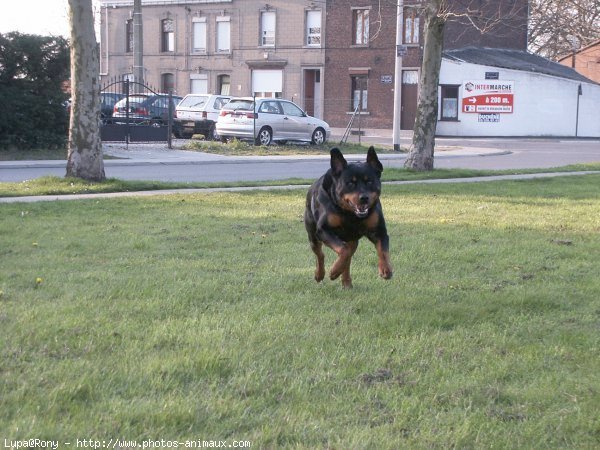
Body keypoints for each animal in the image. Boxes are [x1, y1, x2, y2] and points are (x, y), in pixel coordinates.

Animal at [304, 148, 394, 288]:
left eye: (369, 181)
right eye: (351, 183)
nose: (364, 198)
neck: (350, 214)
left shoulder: (379, 231)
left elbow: (383, 251)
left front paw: (386, 269)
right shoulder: (323, 230)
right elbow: (343, 251)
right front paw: (334, 271)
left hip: (352, 239)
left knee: (348, 257)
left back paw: (346, 282)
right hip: (313, 234)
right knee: (320, 254)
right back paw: (320, 274)